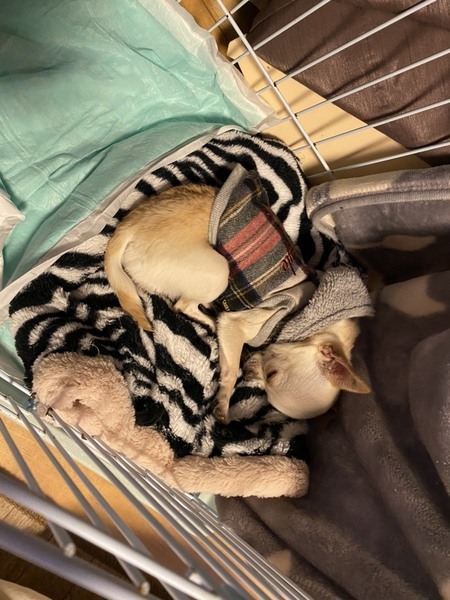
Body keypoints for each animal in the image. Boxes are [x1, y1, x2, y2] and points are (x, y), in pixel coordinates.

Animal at [104, 183, 370, 423]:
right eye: (271, 376)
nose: (249, 369)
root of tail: (128, 227)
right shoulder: (241, 323)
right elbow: (230, 371)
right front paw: (223, 401)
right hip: (218, 272)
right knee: (182, 305)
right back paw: (211, 319)